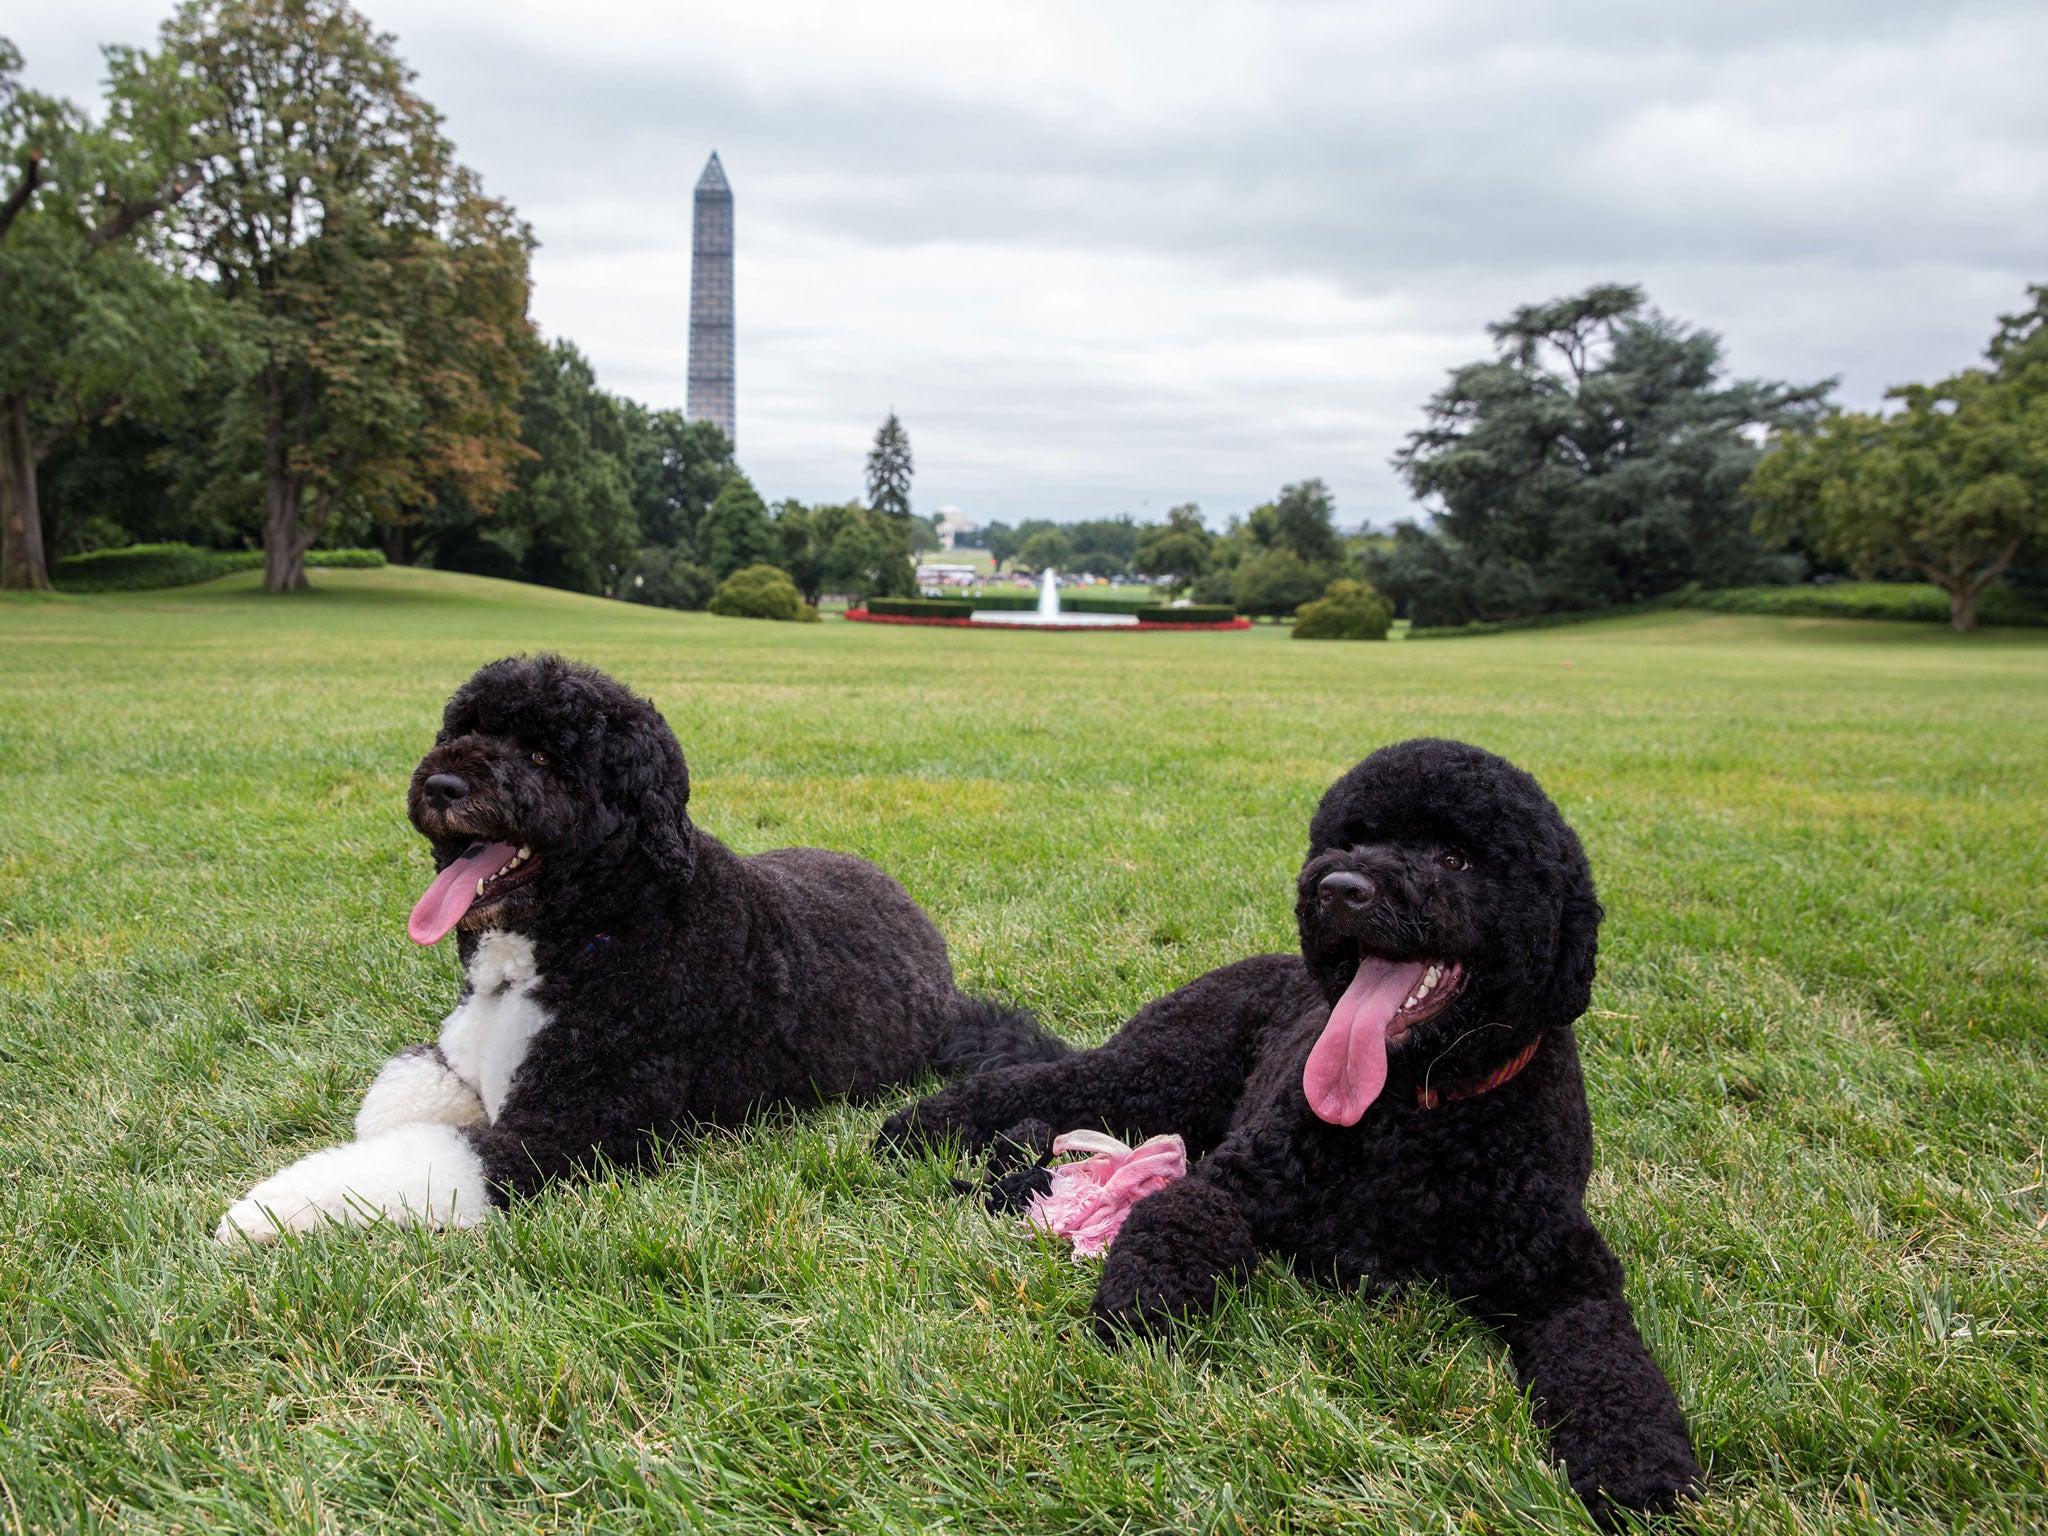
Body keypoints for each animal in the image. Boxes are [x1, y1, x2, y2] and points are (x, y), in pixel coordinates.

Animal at [216, 655, 1064, 1245]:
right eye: (463, 729)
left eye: (546, 757)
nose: (442, 785)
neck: (590, 930)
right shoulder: (456, 1057)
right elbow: (397, 1104)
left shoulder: (568, 1130)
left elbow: (427, 1156)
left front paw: (266, 1210)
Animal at [888, 741, 1703, 1531]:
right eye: (1353, 837)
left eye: (1457, 858)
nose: (1339, 888)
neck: (1417, 1112)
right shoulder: (1236, 1181)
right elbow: (1179, 1218)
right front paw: (1143, 1306)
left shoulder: (1565, 1275)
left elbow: (1611, 1365)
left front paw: (1640, 1467)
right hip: (1158, 1071)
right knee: (1045, 1082)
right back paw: (916, 1128)